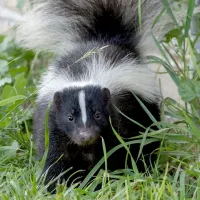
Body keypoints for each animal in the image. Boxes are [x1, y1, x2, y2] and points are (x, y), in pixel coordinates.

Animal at [15, 0, 173, 191]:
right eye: (69, 117)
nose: (86, 135)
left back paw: (145, 167)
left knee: (147, 141)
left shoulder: (117, 118)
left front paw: (100, 182)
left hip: (145, 111)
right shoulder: (52, 122)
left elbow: (112, 153)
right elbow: (55, 156)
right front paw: (55, 185)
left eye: (97, 114)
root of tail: (106, 38)